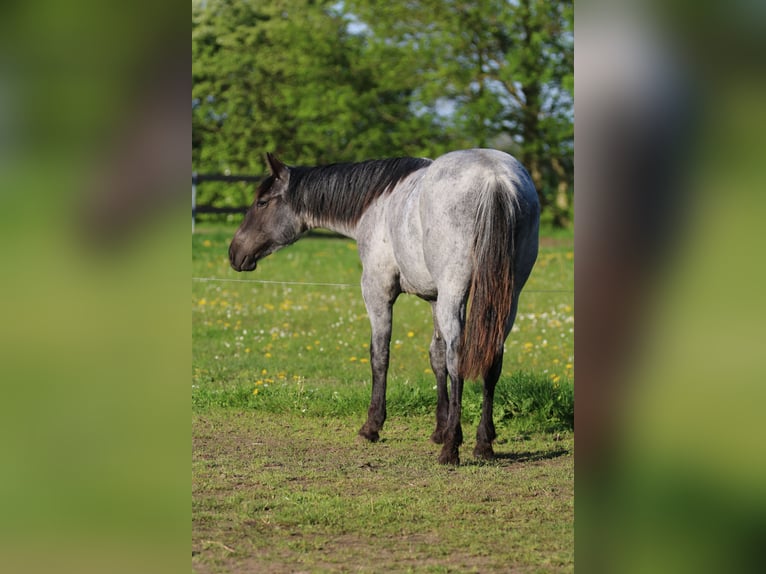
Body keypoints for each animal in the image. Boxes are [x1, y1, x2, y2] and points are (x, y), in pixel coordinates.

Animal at [228, 151, 540, 466]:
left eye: (262, 202)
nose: (234, 253)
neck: (378, 202)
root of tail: (494, 178)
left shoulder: (378, 291)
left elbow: (380, 356)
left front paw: (372, 426)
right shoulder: (435, 298)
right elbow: (436, 357)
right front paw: (439, 429)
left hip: (456, 294)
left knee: (458, 359)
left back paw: (451, 448)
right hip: (505, 298)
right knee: (492, 359)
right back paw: (483, 444)